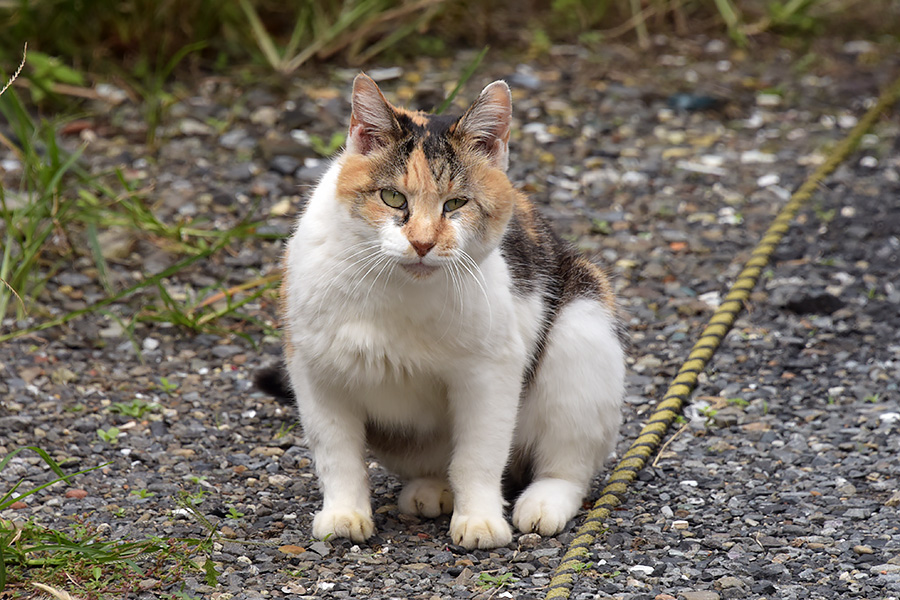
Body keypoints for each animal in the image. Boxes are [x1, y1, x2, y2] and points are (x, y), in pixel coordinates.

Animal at [258, 72, 624, 552]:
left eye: (456, 204)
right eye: (392, 197)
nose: (422, 242)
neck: (398, 293)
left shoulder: (490, 372)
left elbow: (479, 455)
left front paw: (480, 521)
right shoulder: (316, 372)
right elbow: (336, 454)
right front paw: (343, 515)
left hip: (582, 332)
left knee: (567, 464)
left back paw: (542, 503)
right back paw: (431, 490)